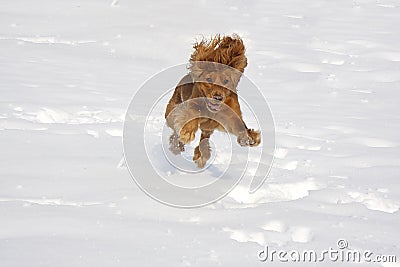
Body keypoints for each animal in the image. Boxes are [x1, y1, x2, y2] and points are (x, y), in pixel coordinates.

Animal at [164, 34, 260, 169]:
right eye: (209, 80)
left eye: (226, 81)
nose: (218, 98)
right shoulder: (192, 105)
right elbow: (191, 114)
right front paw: (187, 133)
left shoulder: (230, 113)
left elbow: (238, 124)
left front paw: (248, 137)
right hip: (172, 110)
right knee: (175, 129)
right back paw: (177, 146)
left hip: (208, 128)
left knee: (204, 138)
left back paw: (200, 155)